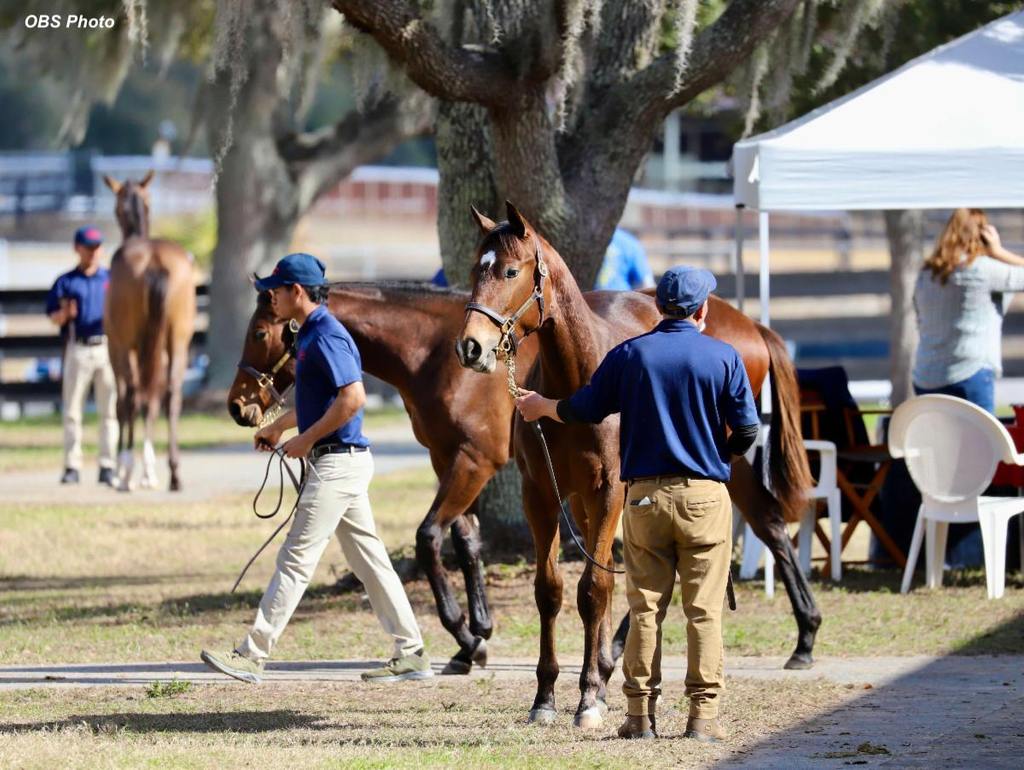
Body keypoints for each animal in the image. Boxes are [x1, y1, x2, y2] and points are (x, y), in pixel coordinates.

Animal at [103, 170, 197, 489]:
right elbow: (153, 401)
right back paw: (175, 472)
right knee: (171, 396)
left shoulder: (118, 348)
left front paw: (123, 469)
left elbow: (123, 403)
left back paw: (126, 472)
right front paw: (149, 471)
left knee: (132, 396)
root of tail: (155, 261)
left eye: (117, 208)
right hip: (176, 342)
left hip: (128, 346)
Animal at [228, 274, 819, 683]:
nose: (239, 405)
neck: (437, 349)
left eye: (259, 331)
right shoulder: (448, 460)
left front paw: (466, 633)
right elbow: (466, 541)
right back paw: (802, 638)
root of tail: (748, 325)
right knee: (763, 527)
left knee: (749, 530)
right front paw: (475, 638)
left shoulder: (474, 462)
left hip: (714, 461)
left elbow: (429, 537)